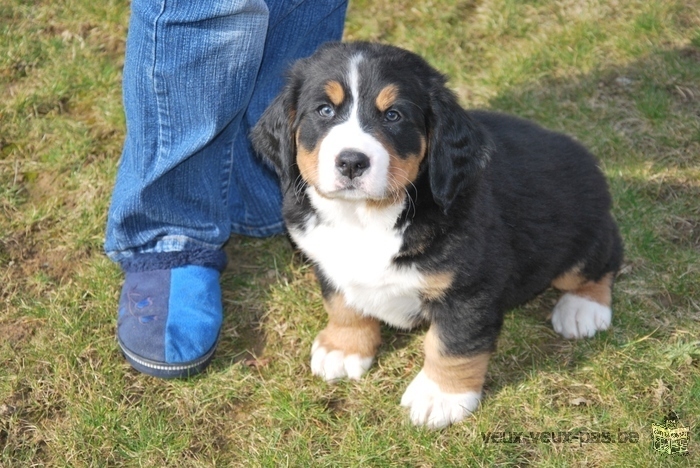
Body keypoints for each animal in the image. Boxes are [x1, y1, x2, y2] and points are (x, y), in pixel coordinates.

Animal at [252, 42, 624, 430]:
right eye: (324, 110)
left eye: (394, 116)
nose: (351, 162)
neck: (366, 217)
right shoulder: (326, 262)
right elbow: (342, 304)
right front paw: (343, 347)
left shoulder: (469, 288)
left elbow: (451, 344)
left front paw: (440, 396)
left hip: (580, 231)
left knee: (604, 256)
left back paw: (582, 308)